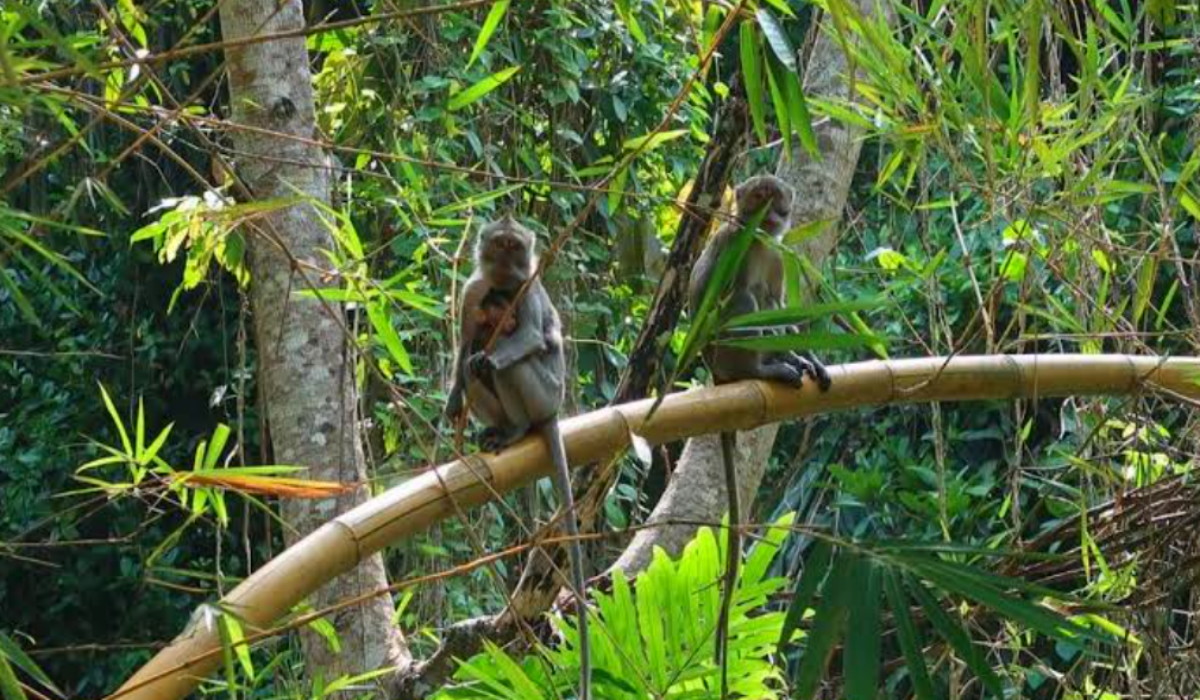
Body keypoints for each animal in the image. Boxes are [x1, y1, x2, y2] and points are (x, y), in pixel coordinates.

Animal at [444, 216, 592, 700]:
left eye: (516, 248)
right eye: (500, 245)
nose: (508, 261)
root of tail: (553, 412)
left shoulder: (527, 288)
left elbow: (528, 337)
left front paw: (502, 349)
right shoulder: (473, 290)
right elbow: (463, 344)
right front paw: (453, 400)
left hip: (545, 393)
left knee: (509, 365)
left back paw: (516, 427)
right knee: (472, 364)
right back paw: (497, 430)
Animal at [691, 174, 830, 696]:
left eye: (777, 201)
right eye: (758, 198)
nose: (770, 213)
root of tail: (720, 378)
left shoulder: (775, 250)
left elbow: (777, 301)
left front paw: (808, 356)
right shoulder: (734, 242)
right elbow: (720, 301)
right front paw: (787, 358)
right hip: (725, 357)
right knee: (741, 305)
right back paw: (764, 370)